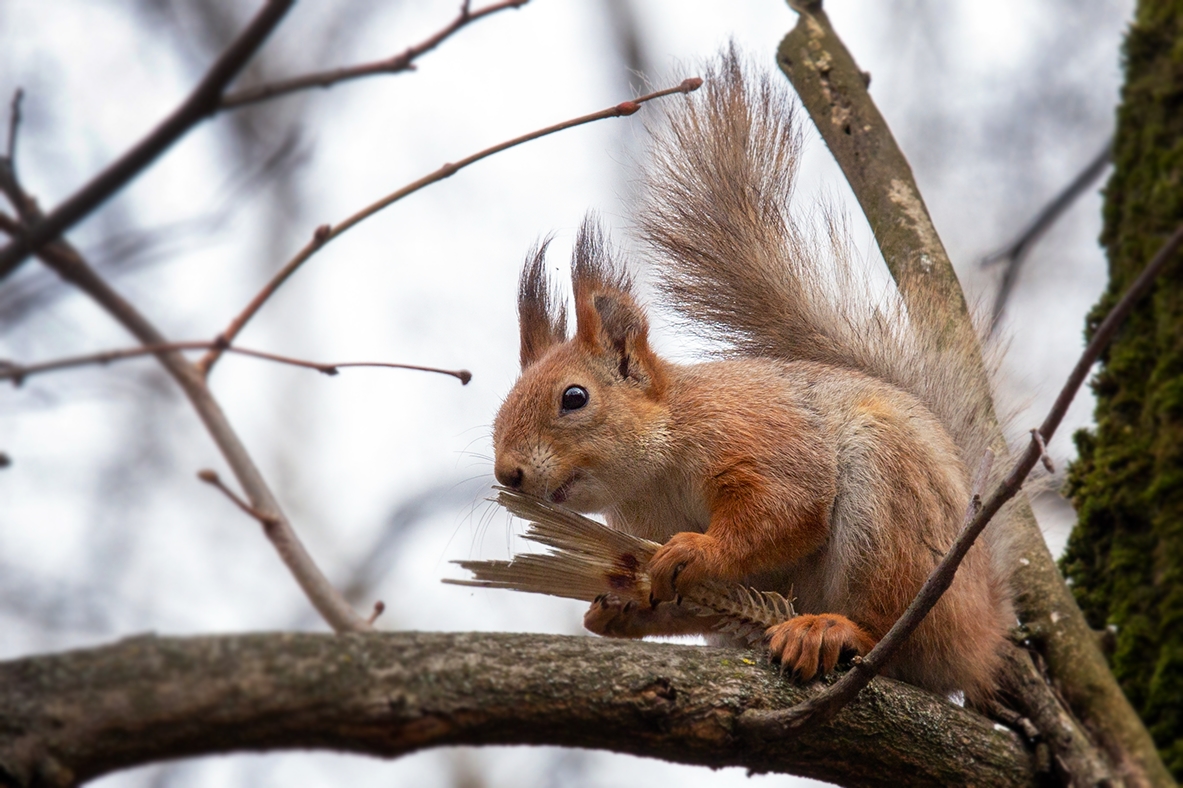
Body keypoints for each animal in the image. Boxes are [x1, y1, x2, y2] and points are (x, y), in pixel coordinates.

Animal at [489, 49, 1017, 700]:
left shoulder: (754, 429)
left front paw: (699, 550)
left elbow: (786, 507)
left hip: (894, 518)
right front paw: (630, 603)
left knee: (891, 634)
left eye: (574, 397)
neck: (652, 476)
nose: (507, 473)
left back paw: (829, 629)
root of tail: (980, 640)